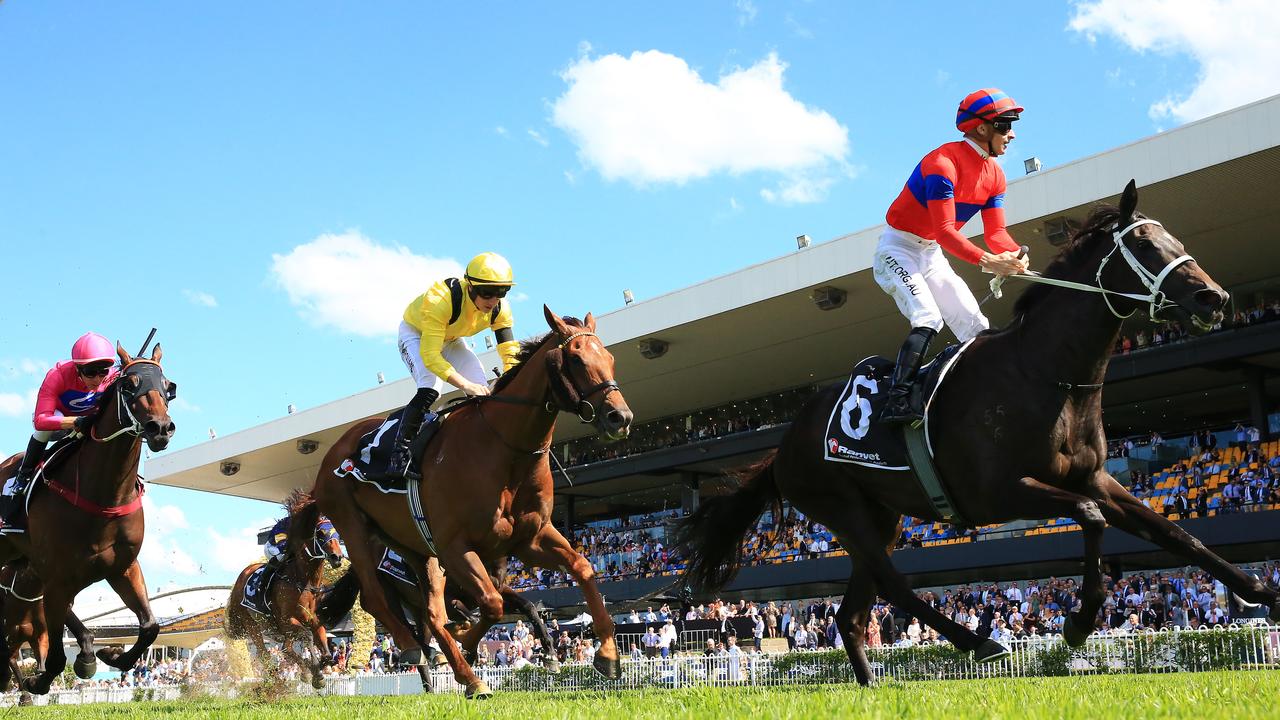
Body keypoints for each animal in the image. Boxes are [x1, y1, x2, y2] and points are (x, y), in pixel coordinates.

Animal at [0, 340, 175, 691]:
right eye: (128, 384)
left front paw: (111, 655)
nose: (160, 427)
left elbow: (150, 626)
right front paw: (37, 682)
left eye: (168, 386)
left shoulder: (123, 568)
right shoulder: (57, 578)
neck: (104, 494)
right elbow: (54, 658)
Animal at [225, 486, 345, 691]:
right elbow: (306, 636)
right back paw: (279, 680)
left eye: (336, 533)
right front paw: (316, 673)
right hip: (252, 624)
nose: (337, 557)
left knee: (286, 648)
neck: (304, 582)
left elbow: (321, 638)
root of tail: (241, 578)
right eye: (321, 533)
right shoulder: (286, 620)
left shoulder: (311, 619)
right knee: (265, 653)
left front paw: (321, 666)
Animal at [316, 303, 634, 696]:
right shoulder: (456, 547)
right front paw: (468, 641)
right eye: (576, 359)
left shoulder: (529, 538)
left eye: (609, 357)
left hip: (415, 548)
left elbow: (583, 568)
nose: (620, 417)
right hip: (353, 527)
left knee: (432, 614)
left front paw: (607, 654)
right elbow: (492, 605)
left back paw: (461, 672)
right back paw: (419, 651)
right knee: (379, 600)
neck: (504, 449)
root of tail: (334, 452)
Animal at [675, 180, 1274, 681]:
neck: (1046, 373)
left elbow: (1175, 533)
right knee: (894, 584)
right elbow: (1090, 517)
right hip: (840, 507)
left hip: (880, 515)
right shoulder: (997, 493)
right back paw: (977, 642)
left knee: (850, 615)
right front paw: (1078, 622)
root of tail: (782, 447)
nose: (1214, 298)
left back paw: (870, 683)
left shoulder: (1095, 478)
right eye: (1147, 245)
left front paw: (1259, 589)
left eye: (1175, 238)